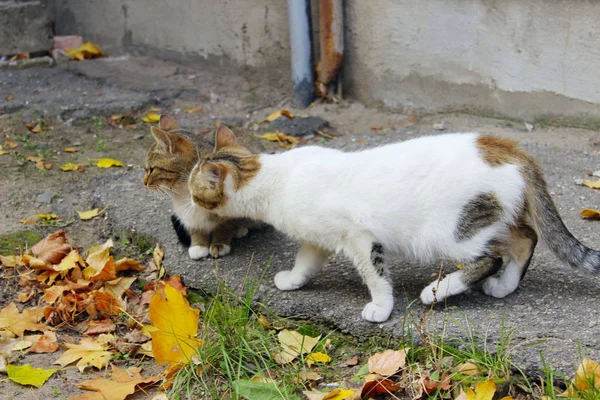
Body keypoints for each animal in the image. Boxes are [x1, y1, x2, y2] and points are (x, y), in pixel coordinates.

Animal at [144, 115, 251, 260]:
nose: (144, 182)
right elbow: (195, 226)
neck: (184, 190)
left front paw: (220, 243)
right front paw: (198, 244)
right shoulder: (186, 212)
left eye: (151, 169)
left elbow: (224, 225)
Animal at [188, 126, 600, 324]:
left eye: (194, 190)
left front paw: (381, 308)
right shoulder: (320, 237)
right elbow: (306, 260)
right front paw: (293, 279)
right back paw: (505, 287)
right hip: (491, 217)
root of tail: (507, 146)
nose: (187, 204)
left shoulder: (360, 237)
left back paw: (439, 290)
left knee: (492, 256)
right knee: (525, 238)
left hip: (449, 231)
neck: (274, 178)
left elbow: (376, 276)